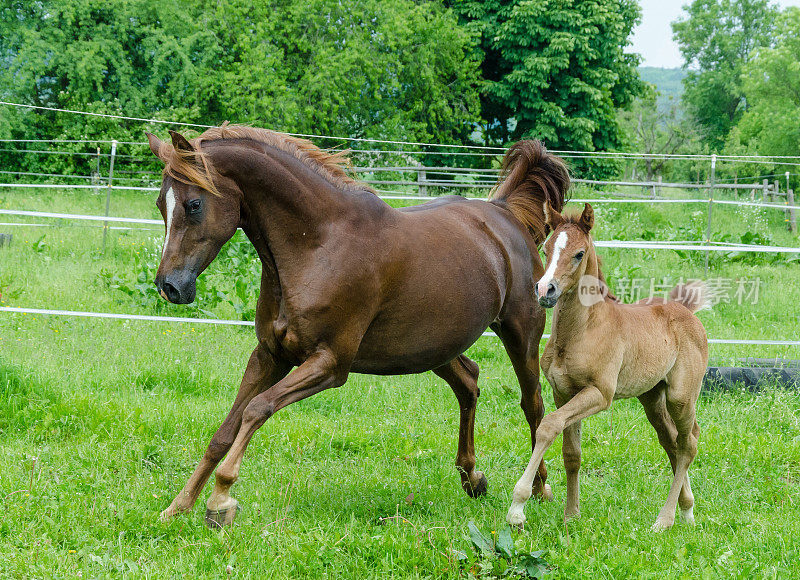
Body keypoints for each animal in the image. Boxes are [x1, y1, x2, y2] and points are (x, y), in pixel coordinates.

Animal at [144, 124, 568, 528]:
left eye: (193, 204)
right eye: (161, 203)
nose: (170, 287)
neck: (318, 244)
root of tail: (505, 214)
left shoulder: (330, 364)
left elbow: (256, 410)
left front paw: (221, 499)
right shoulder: (269, 356)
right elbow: (224, 432)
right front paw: (177, 507)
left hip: (520, 334)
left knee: (532, 404)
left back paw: (539, 489)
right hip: (433, 348)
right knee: (469, 383)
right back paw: (473, 478)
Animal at [506, 203, 708, 532]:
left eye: (579, 253)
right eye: (546, 248)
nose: (545, 290)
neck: (583, 330)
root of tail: (686, 311)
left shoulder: (600, 394)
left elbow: (548, 426)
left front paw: (518, 507)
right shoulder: (564, 393)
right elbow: (571, 453)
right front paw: (571, 515)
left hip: (681, 396)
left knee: (688, 443)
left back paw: (665, 519)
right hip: (652, 397)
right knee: (671, 441)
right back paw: (687, 510)